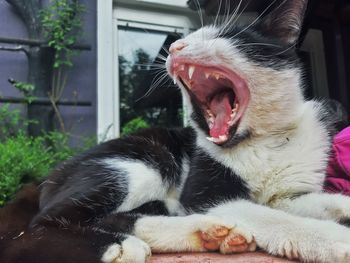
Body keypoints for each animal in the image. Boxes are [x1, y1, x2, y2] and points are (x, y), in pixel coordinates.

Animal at [0, 0, 350, 262]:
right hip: (140, 163)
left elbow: (306, 203)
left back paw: (206, 233)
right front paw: (335, 239)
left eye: (225, 35)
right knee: (38, 225)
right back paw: (118, 246)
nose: (175, 46)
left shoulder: (287, 194)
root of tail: (43, 180)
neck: (263, 140)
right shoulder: (203, 193)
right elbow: (269, 216)